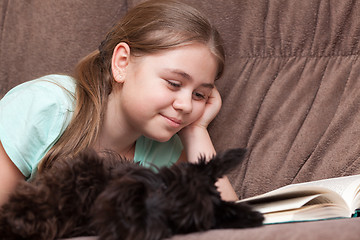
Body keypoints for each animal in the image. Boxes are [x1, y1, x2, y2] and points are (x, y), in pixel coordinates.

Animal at [0, 148, 264, 240]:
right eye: (164, 185)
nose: (131, 212)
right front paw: (23, 215)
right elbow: (60, 192)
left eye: (177, 221)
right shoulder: (84, 169)